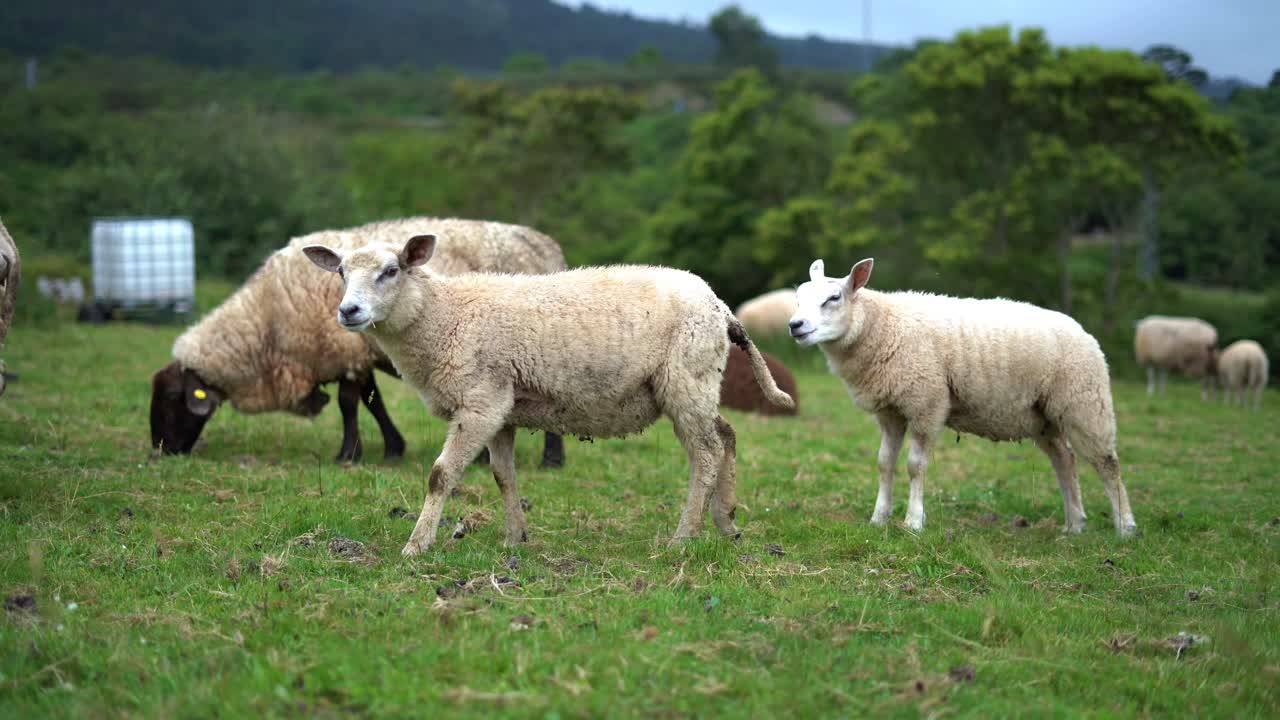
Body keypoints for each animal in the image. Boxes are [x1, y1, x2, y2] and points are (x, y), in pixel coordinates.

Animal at [150, 217, 568, 466]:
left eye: (172, 399)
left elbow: (349, 405)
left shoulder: (344, 353)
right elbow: (373, 403)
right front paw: (392, 448)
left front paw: (347, 454)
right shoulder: (356, 354)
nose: (160, 450)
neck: (265, 324)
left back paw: (552, 459)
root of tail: (545, 244)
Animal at [302, 234, 795, 555]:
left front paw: (416, 545)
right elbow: (503, 476)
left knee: (707, 452)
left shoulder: (480, 401)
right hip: (698, 382)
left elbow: (441, 476)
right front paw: (514, 538)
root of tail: (720, 306)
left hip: (686, 379)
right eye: (341, 272)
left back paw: (684, 537)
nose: (349, 311)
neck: (444, 316)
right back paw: (727, 522)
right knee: (726, 436)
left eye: (391, 271)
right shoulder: (500, 406)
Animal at [788, 257, 1135, 537]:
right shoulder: (890, 411)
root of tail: (1083, 331)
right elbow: (884, 463)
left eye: (834, 297)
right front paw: (879, 517)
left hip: (1084, 402)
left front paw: (913, 522)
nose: (795, 325)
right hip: (1043, 416)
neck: (884, 327)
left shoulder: (927, 403)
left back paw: (1125, 526)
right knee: (1065, 460)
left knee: (1107, 463)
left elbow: (915, 466)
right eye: (797, 299)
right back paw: (1074, 524)